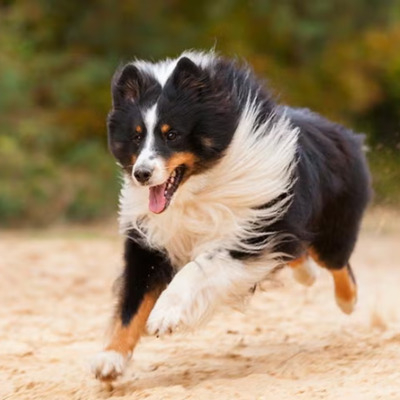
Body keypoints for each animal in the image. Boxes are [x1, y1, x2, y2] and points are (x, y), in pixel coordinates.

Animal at [91, 50, 372, 382]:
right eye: (136, 137)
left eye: (172, 134)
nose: (142, 174)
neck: (195, 191)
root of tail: (345, 134)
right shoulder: (149, 240)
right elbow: (131, 304)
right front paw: (110, 359)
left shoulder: (247, 232)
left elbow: (197, 268)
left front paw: (164, 315)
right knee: (298, 251)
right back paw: (306, 273)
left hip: (329, 229)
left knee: (338, 264)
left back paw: (347, 301)